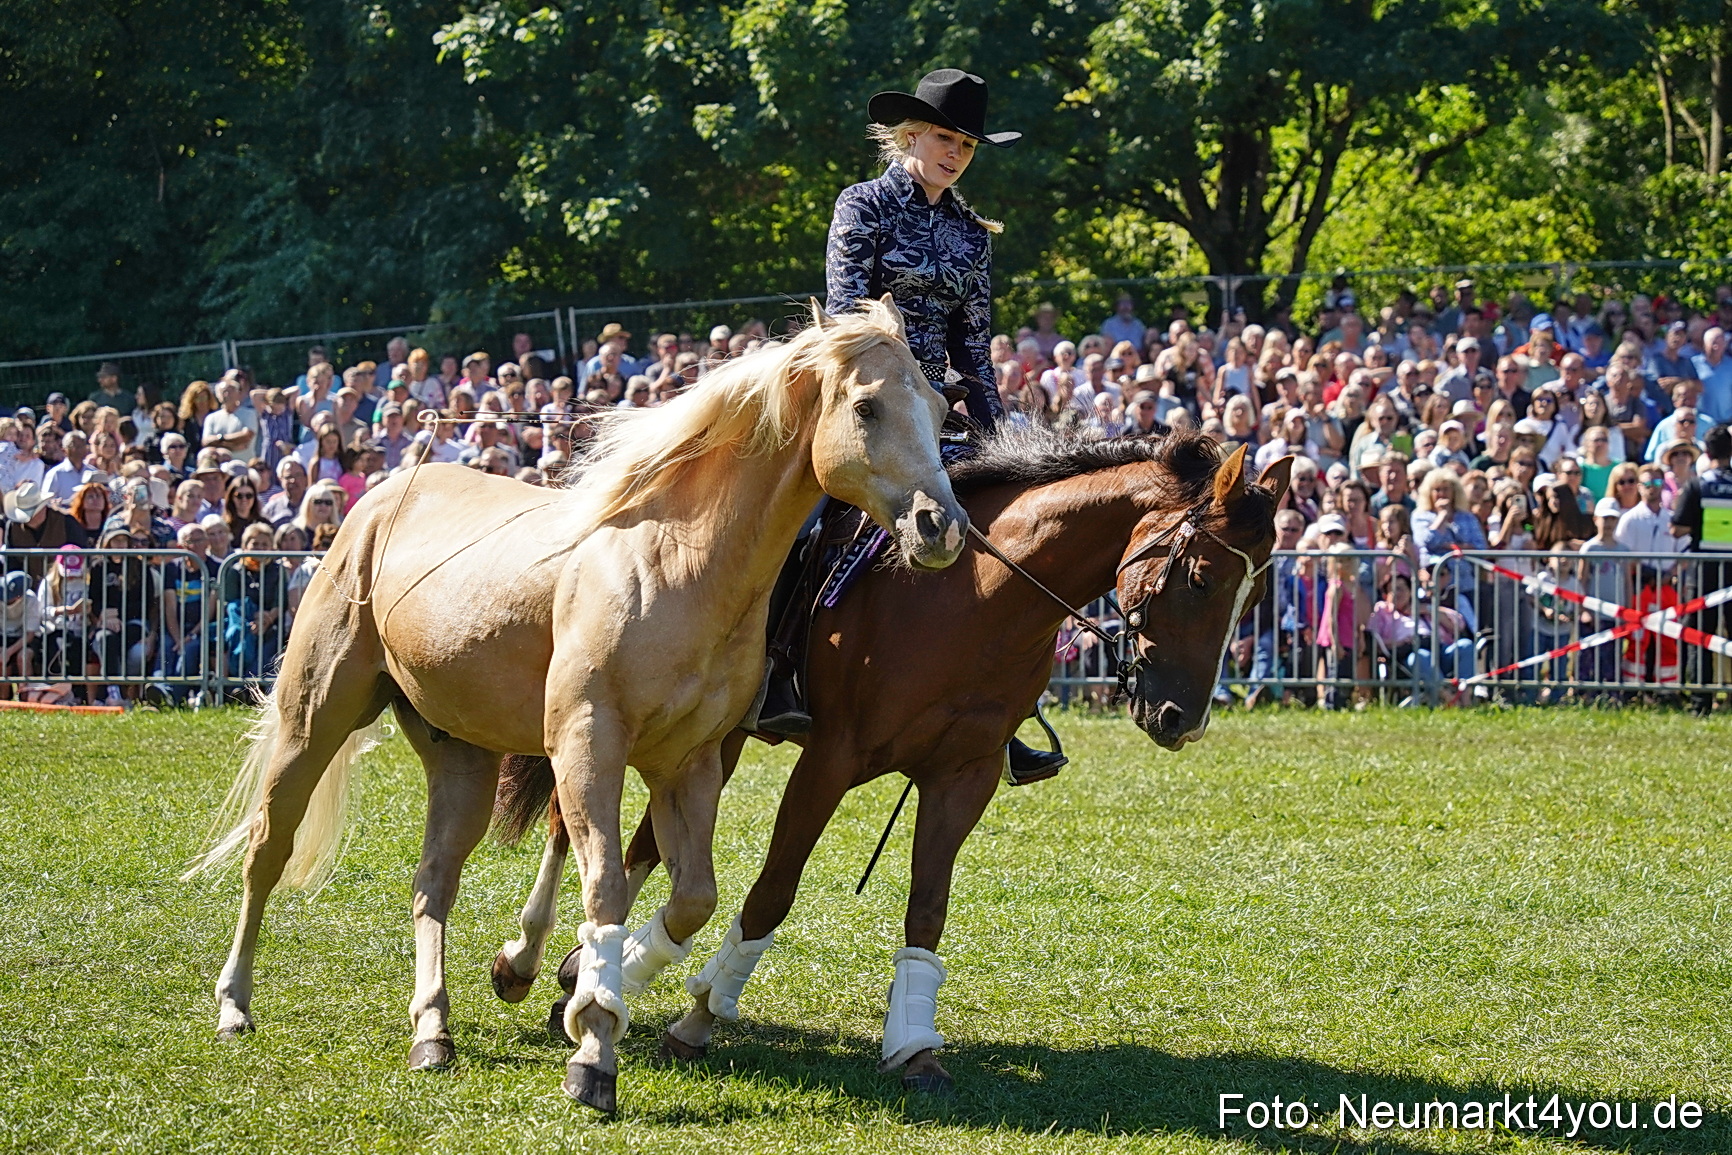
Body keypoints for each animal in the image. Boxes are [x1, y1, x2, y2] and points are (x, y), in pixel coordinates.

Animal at [183, 296, 969, 1113]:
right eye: (868, 406)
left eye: (942, 406)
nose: (940, 527)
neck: (673, 562)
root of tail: (378, 499)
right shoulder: (589, 744)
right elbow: (606, 886)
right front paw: (592, 1044)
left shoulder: (689, 763)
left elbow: (693, 896)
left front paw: (587, 981)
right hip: (313, 722)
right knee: (267, 850)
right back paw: (235, 1005)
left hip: (461, 758)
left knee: (433, 881)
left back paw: (433, 1030)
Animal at [488, 426, 1292, 1094]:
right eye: (1201, 579)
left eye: (1256, 596)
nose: (1182, 720)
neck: (971, 602)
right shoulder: (830, 760)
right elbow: (773, 891)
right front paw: (703, 1014)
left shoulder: (963, 776)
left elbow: (927, 909)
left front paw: (914, 1045)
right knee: (571, 822)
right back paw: (530, 959)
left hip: (710, 738)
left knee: (644, 843)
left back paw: (591, 968)